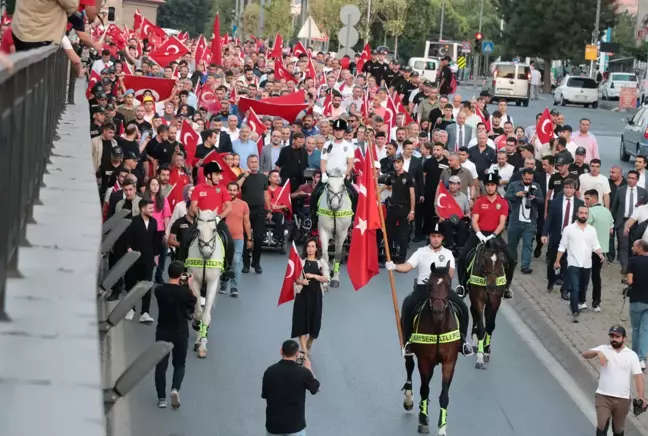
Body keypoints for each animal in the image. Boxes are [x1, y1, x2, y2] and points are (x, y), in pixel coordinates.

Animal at [184, 209, 224, 360]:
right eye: (198, 230)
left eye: (214, 230)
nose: (206, 253)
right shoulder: (194, 281)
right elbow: (198, 312)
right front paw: (196, 326)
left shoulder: (213, 283)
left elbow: (206, 315)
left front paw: (203, 346)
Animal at [402, 262, 458, 436]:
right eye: (429, 286)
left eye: (448, 285)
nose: (438, 310)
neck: (438, 327)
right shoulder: (425, 361)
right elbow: (424, 390)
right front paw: (423, 421)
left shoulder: (449, 363)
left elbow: (444, 396)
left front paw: (442, 428)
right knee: (409, 367)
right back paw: (409, 400)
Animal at [468, 240, 508, 370]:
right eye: (485, 259)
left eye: (501, 260)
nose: (491, 286)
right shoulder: (478, 300)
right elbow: (481, 327)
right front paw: (480, 357)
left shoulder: (495, 302)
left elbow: (490, 326)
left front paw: (486, 351)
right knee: (475, 315)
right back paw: (475, 342)